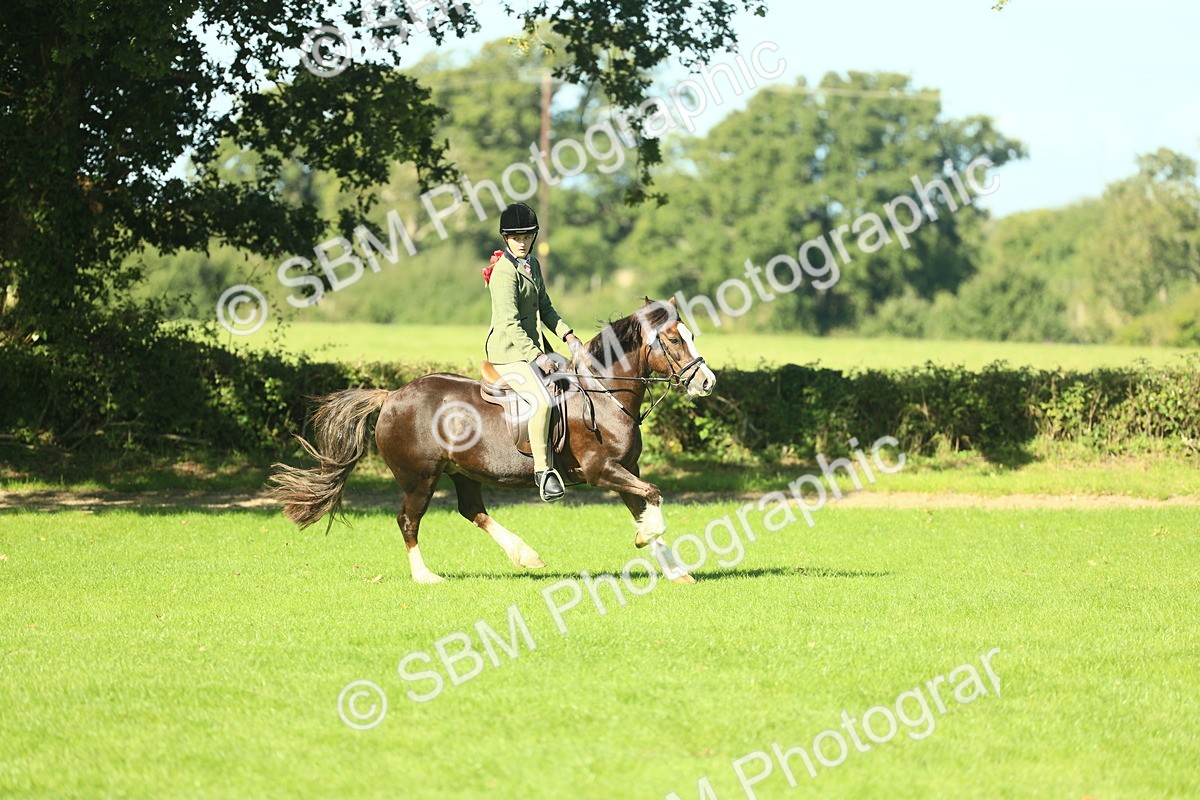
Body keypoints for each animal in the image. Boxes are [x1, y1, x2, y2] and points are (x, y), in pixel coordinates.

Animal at [268, 299, 718, 584]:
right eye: (674, 340)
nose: (707, 381)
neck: (605, 393)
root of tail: (392, 395)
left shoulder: (625, 468)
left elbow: (644, 506)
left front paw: (674, 569)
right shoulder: (601, 470)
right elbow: (653, 495)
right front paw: (647, 540)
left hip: (462, 471)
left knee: (472, 510)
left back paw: (525, 555)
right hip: (419, 479)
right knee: (408, 520)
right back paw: (426, 577)